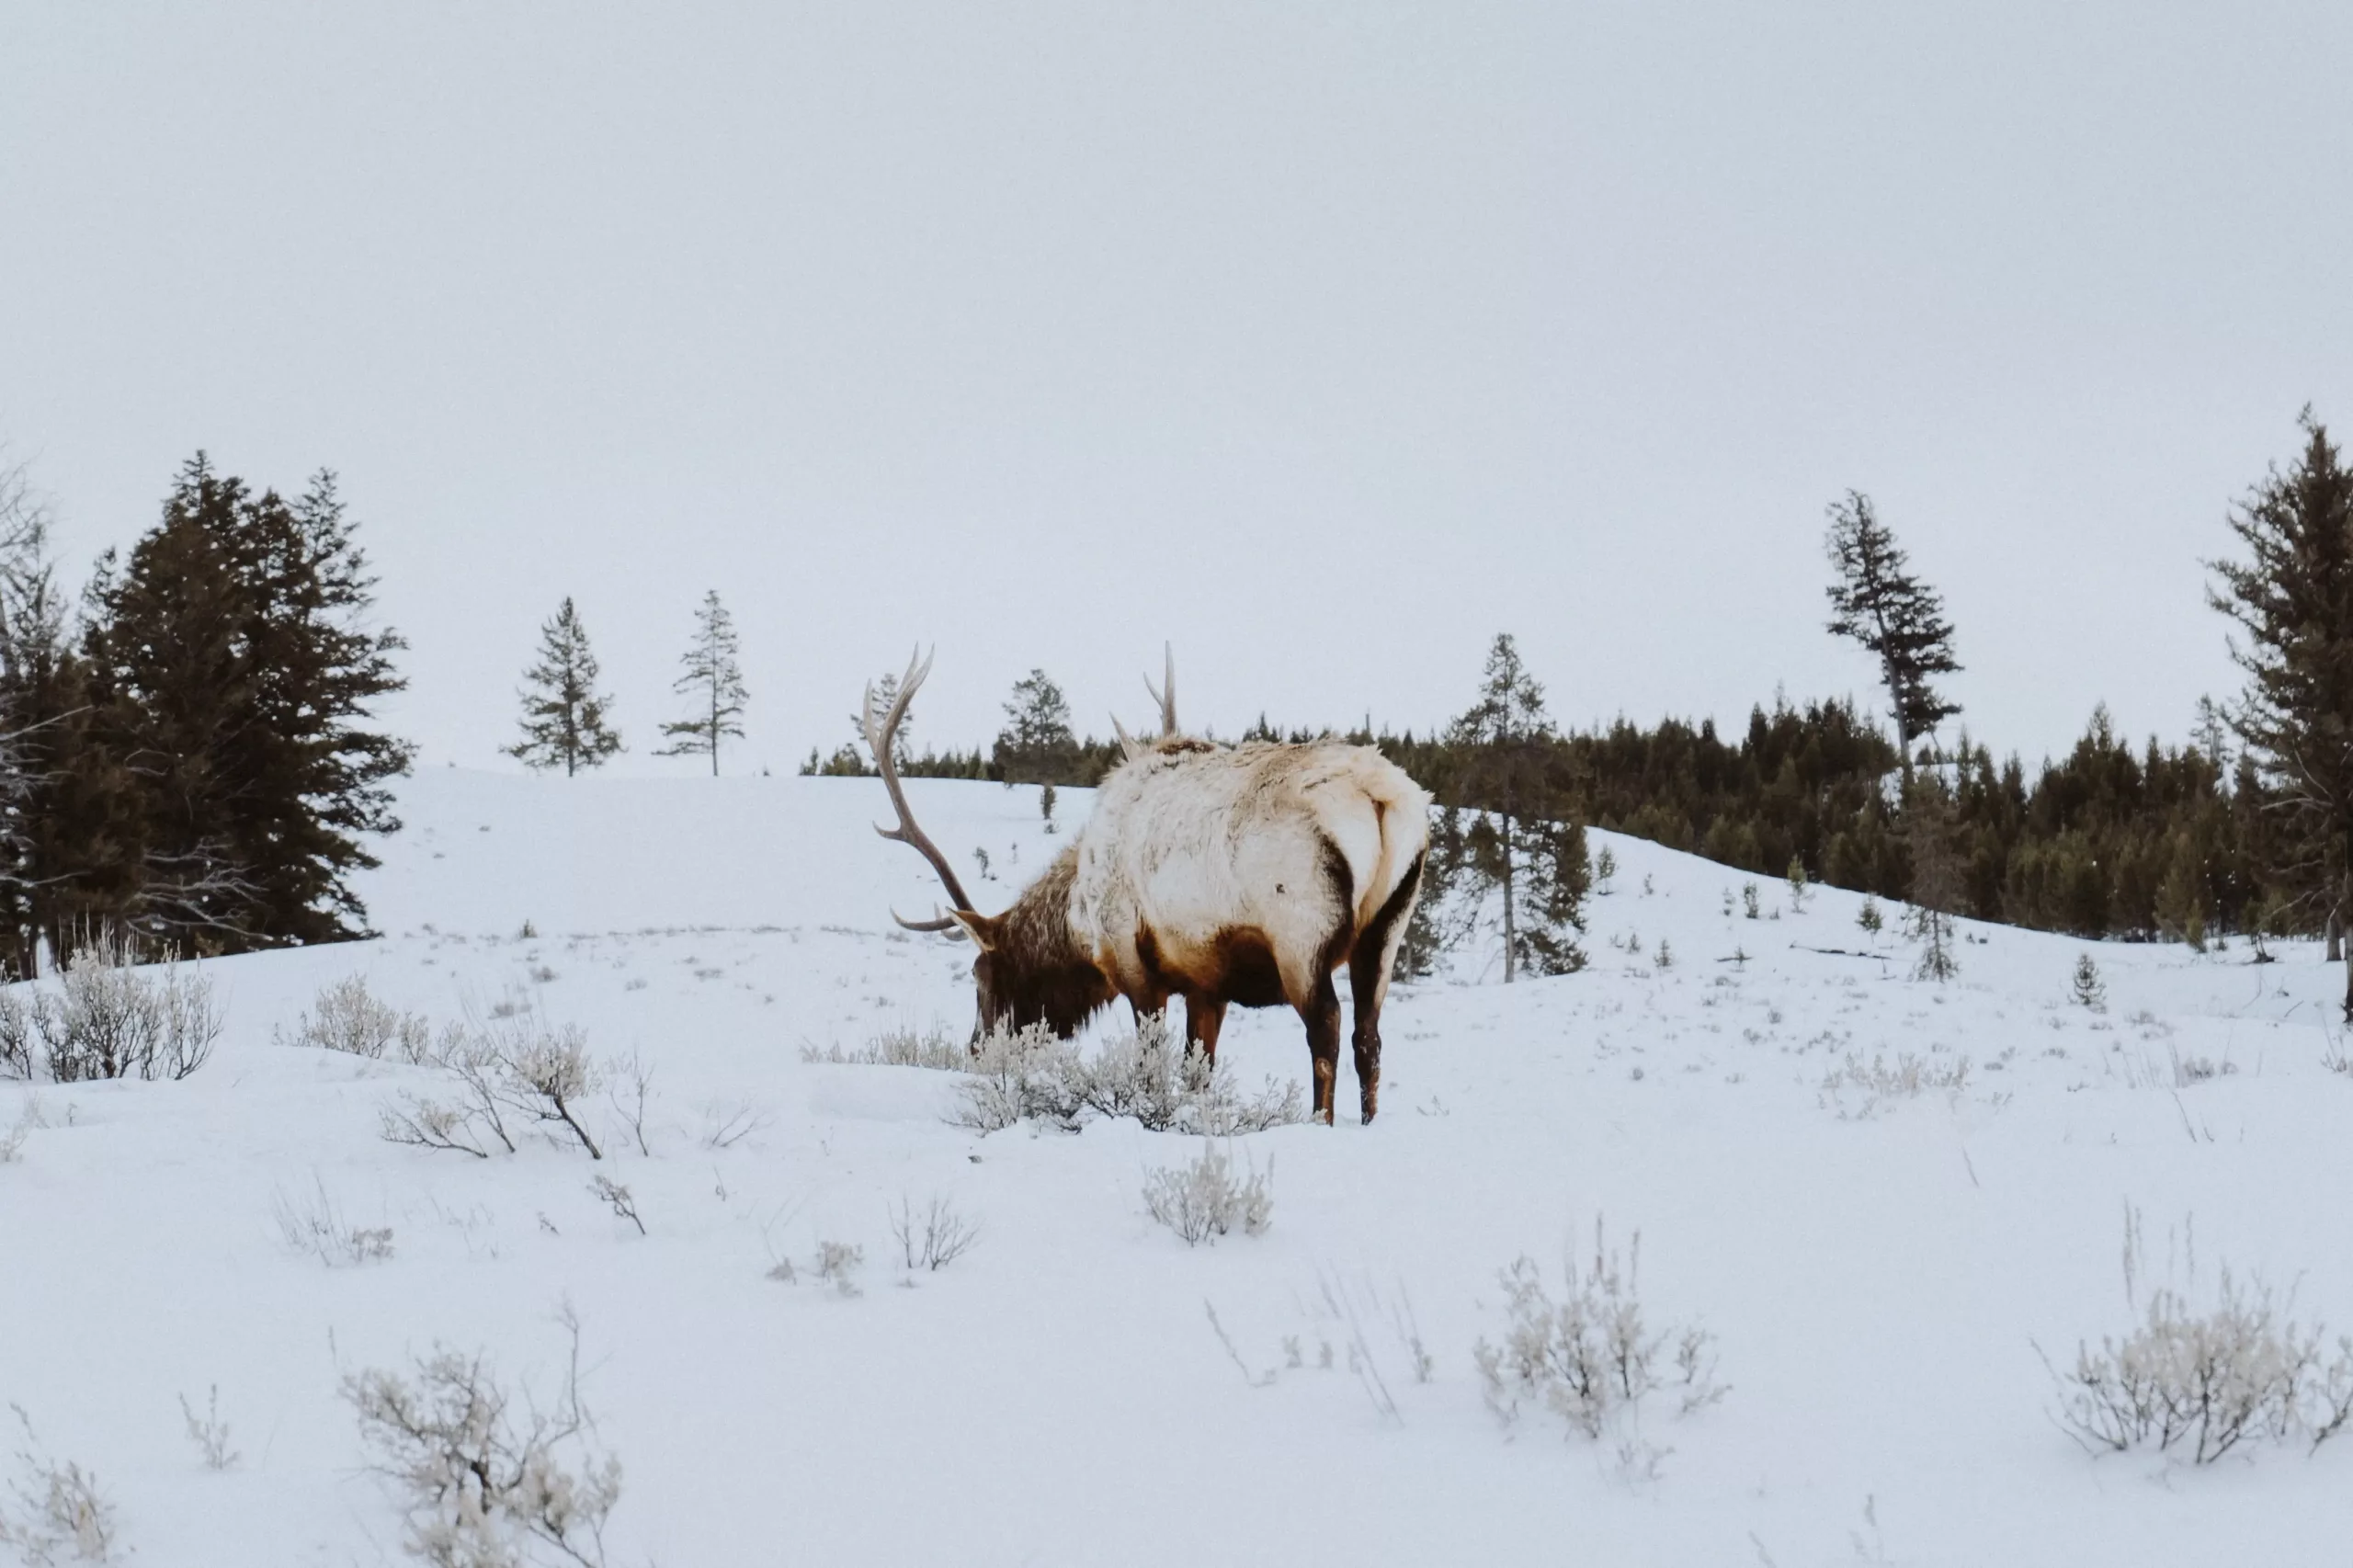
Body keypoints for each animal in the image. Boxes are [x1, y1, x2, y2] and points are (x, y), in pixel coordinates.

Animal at [856, 640, 1421, 1116]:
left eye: (979, 976)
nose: (975, 1050)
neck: (1078, 920)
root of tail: (1379, 795)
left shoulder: (1134, 963)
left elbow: (1151, 1067)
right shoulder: (1206, 982)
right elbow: (1198, 1072)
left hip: (1299, 934)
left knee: (1327, 1028)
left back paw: (1319, 1122)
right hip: (1387, 930)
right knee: (1368, 1039)